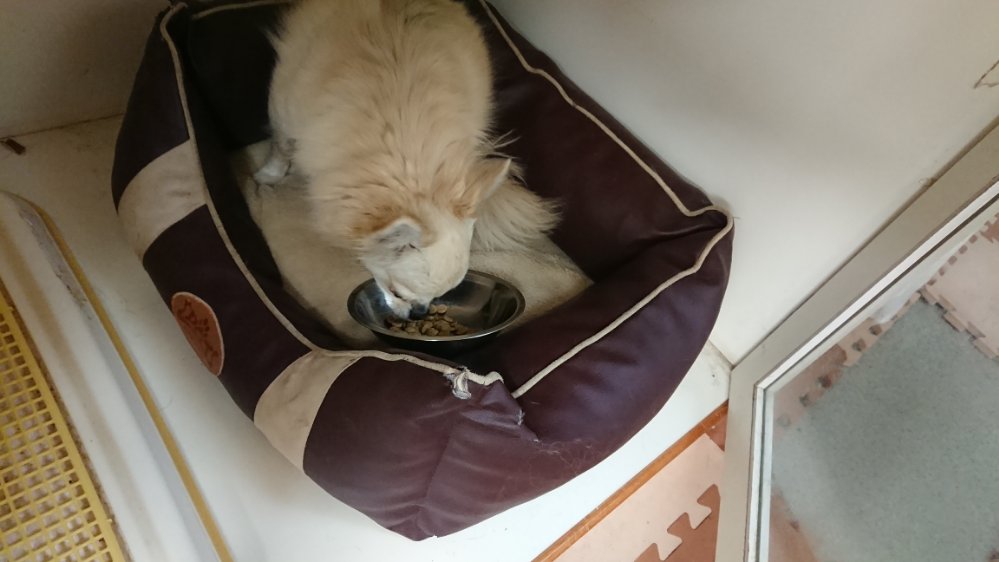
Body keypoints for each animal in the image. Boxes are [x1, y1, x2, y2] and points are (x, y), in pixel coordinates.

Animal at [255, 0, 558, 319]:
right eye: (396, 293)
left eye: (440, 297)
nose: (419, 312)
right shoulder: (285, 109)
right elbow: (281, 144)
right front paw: (269, 174)